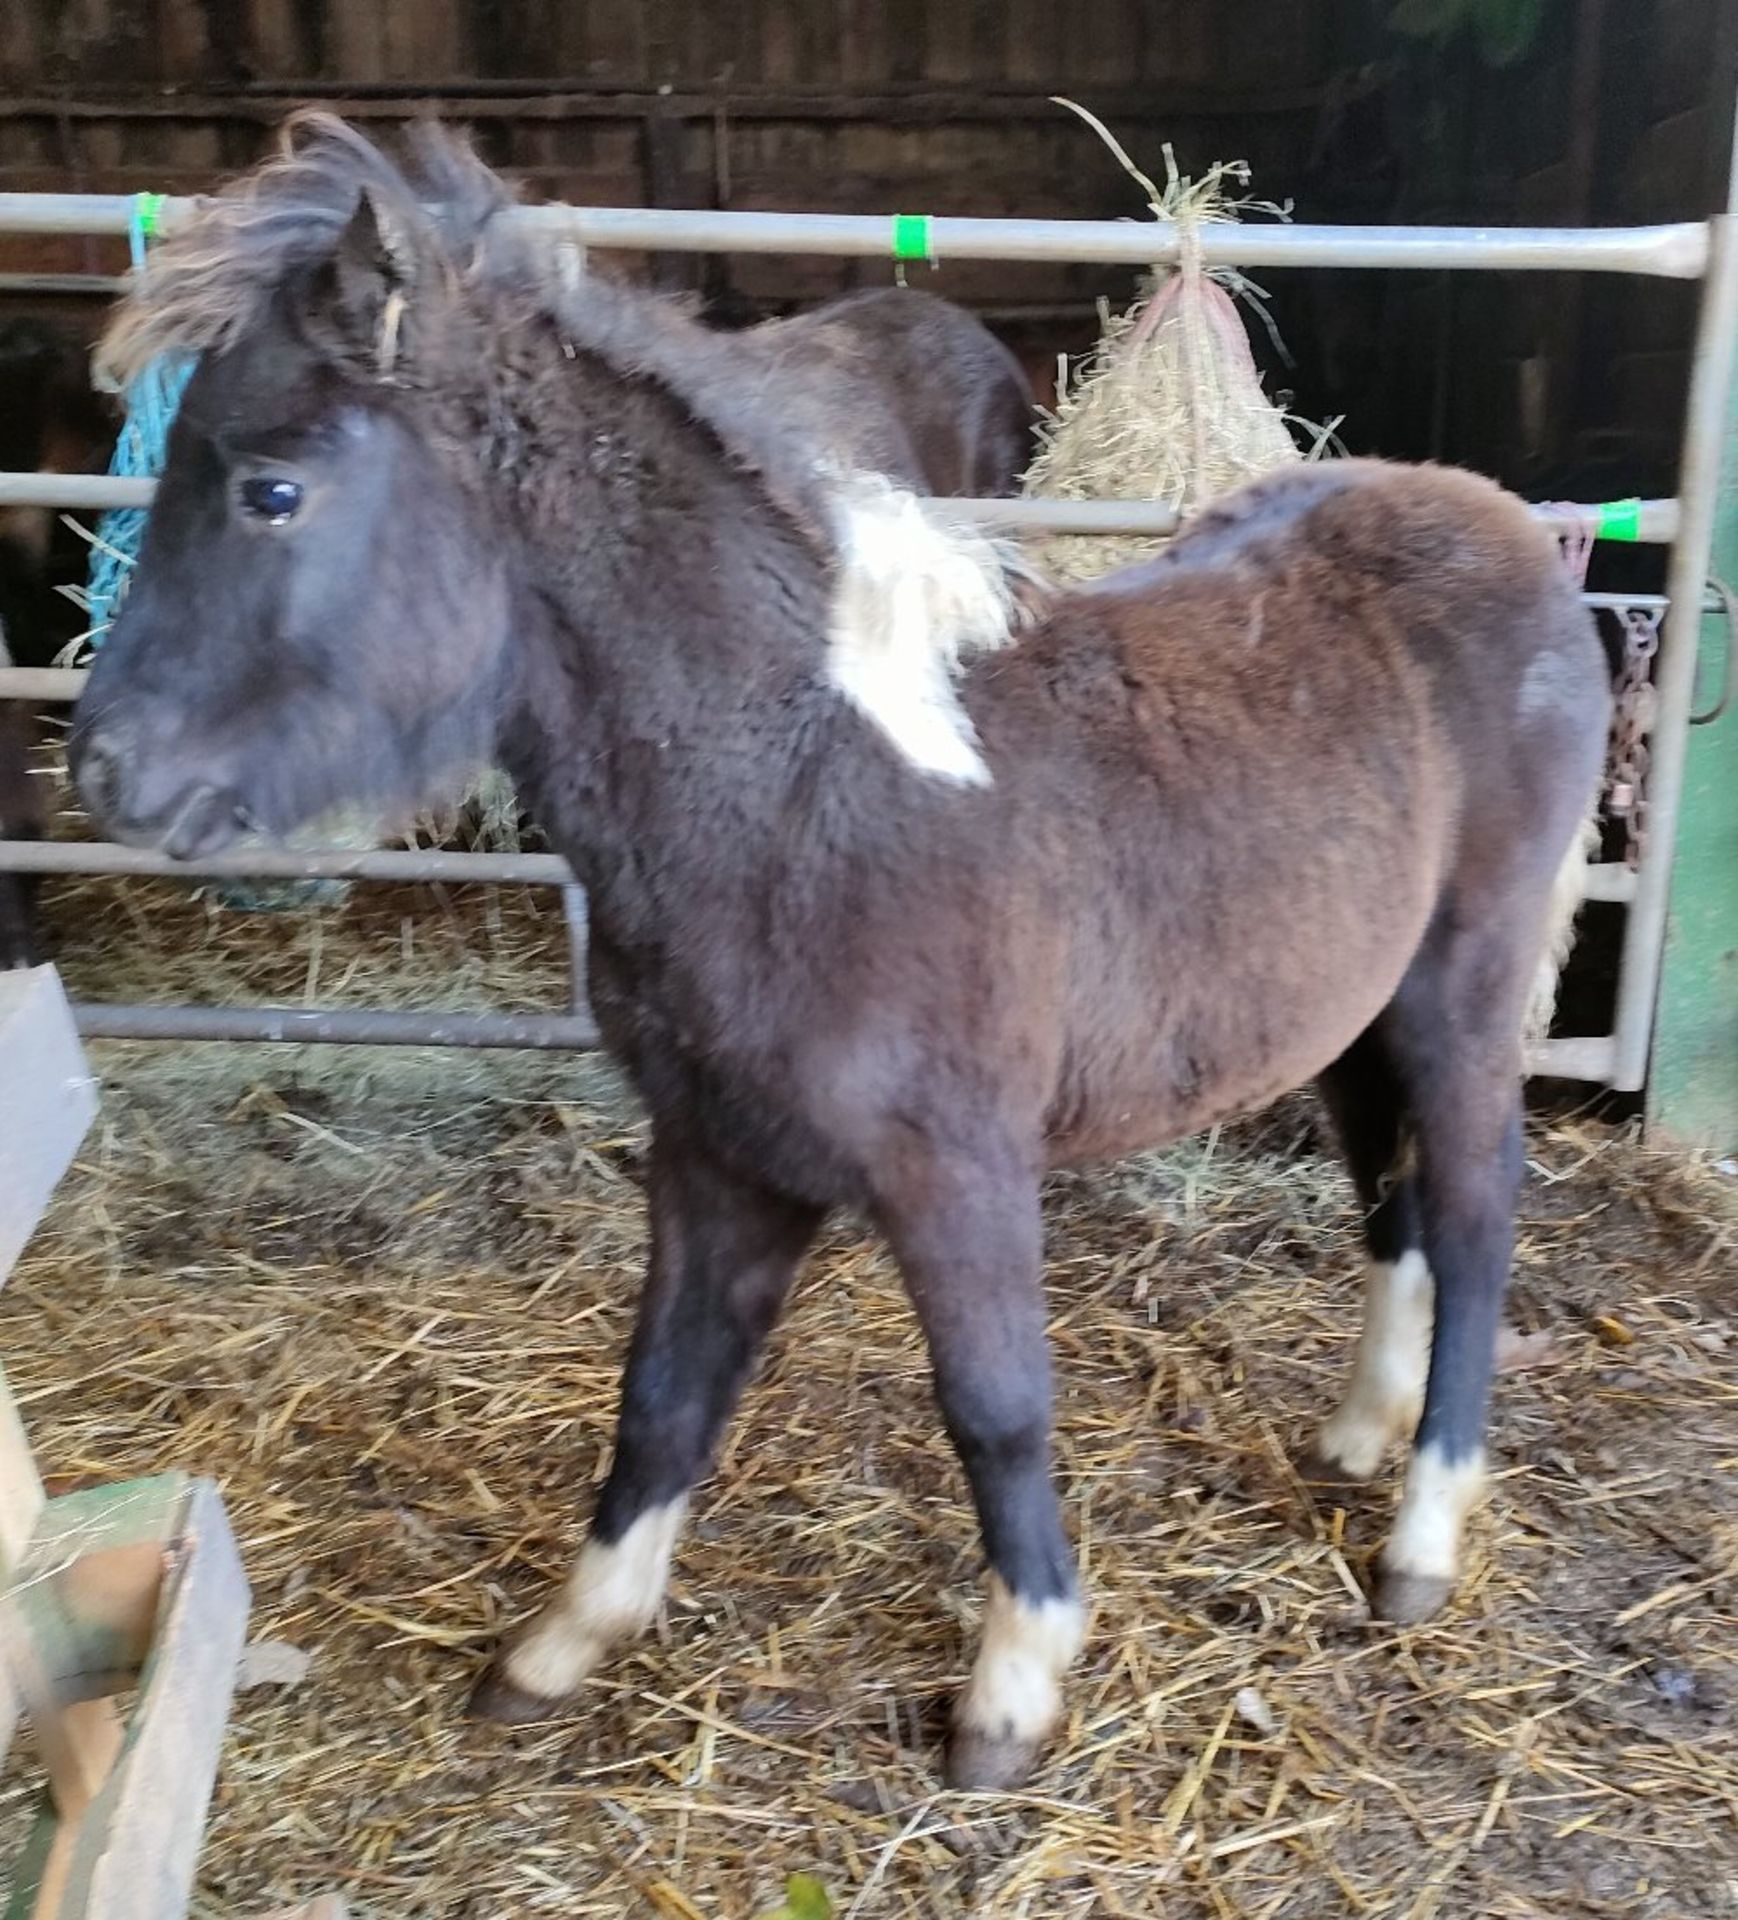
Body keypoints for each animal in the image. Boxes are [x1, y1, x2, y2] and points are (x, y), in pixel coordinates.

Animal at [71, 120, 1613, 1789]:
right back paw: (1352, 1436)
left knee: (1474, 1214)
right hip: (1350, 1011)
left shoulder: (957, 1168)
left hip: (1466, 989)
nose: (104, 774)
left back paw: (1419, 1540)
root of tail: (1504, 530)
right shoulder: (715, 1153)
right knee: (1393, 1199)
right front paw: (561, 1644)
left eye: (271, 489)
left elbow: (994, 1405)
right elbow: (664, 1390)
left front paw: (1013, 1687)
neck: (805, 784)